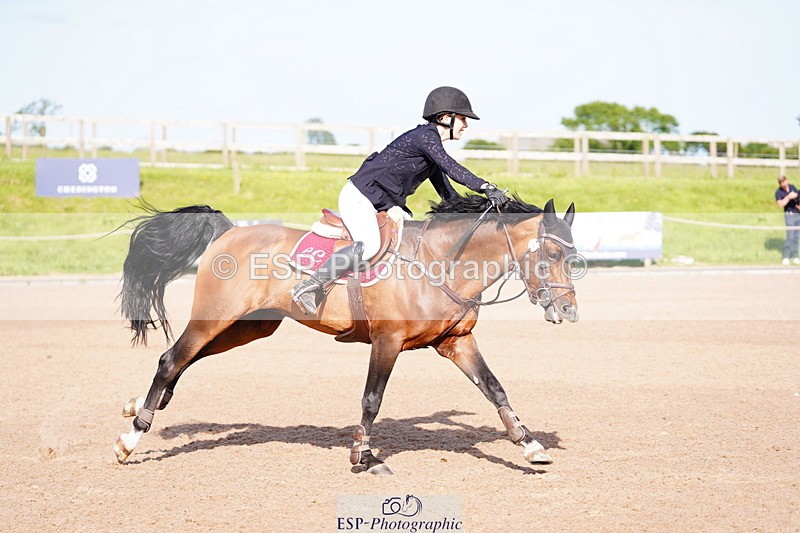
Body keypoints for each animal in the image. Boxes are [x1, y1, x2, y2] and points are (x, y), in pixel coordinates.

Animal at [114, 194, 580, 474]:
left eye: (573, 256)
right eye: (551, 252)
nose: (569, 310)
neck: (440, 264)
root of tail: (230, 231)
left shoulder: (456, 343)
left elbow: (495, 388)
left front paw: (529, 445)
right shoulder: (387, 343)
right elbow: (372, 399)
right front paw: (364, 456)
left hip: (250, 327)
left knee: (183, 361)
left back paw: (138, 406)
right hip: (215, 317)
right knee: (172, 359)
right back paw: (130, 439)